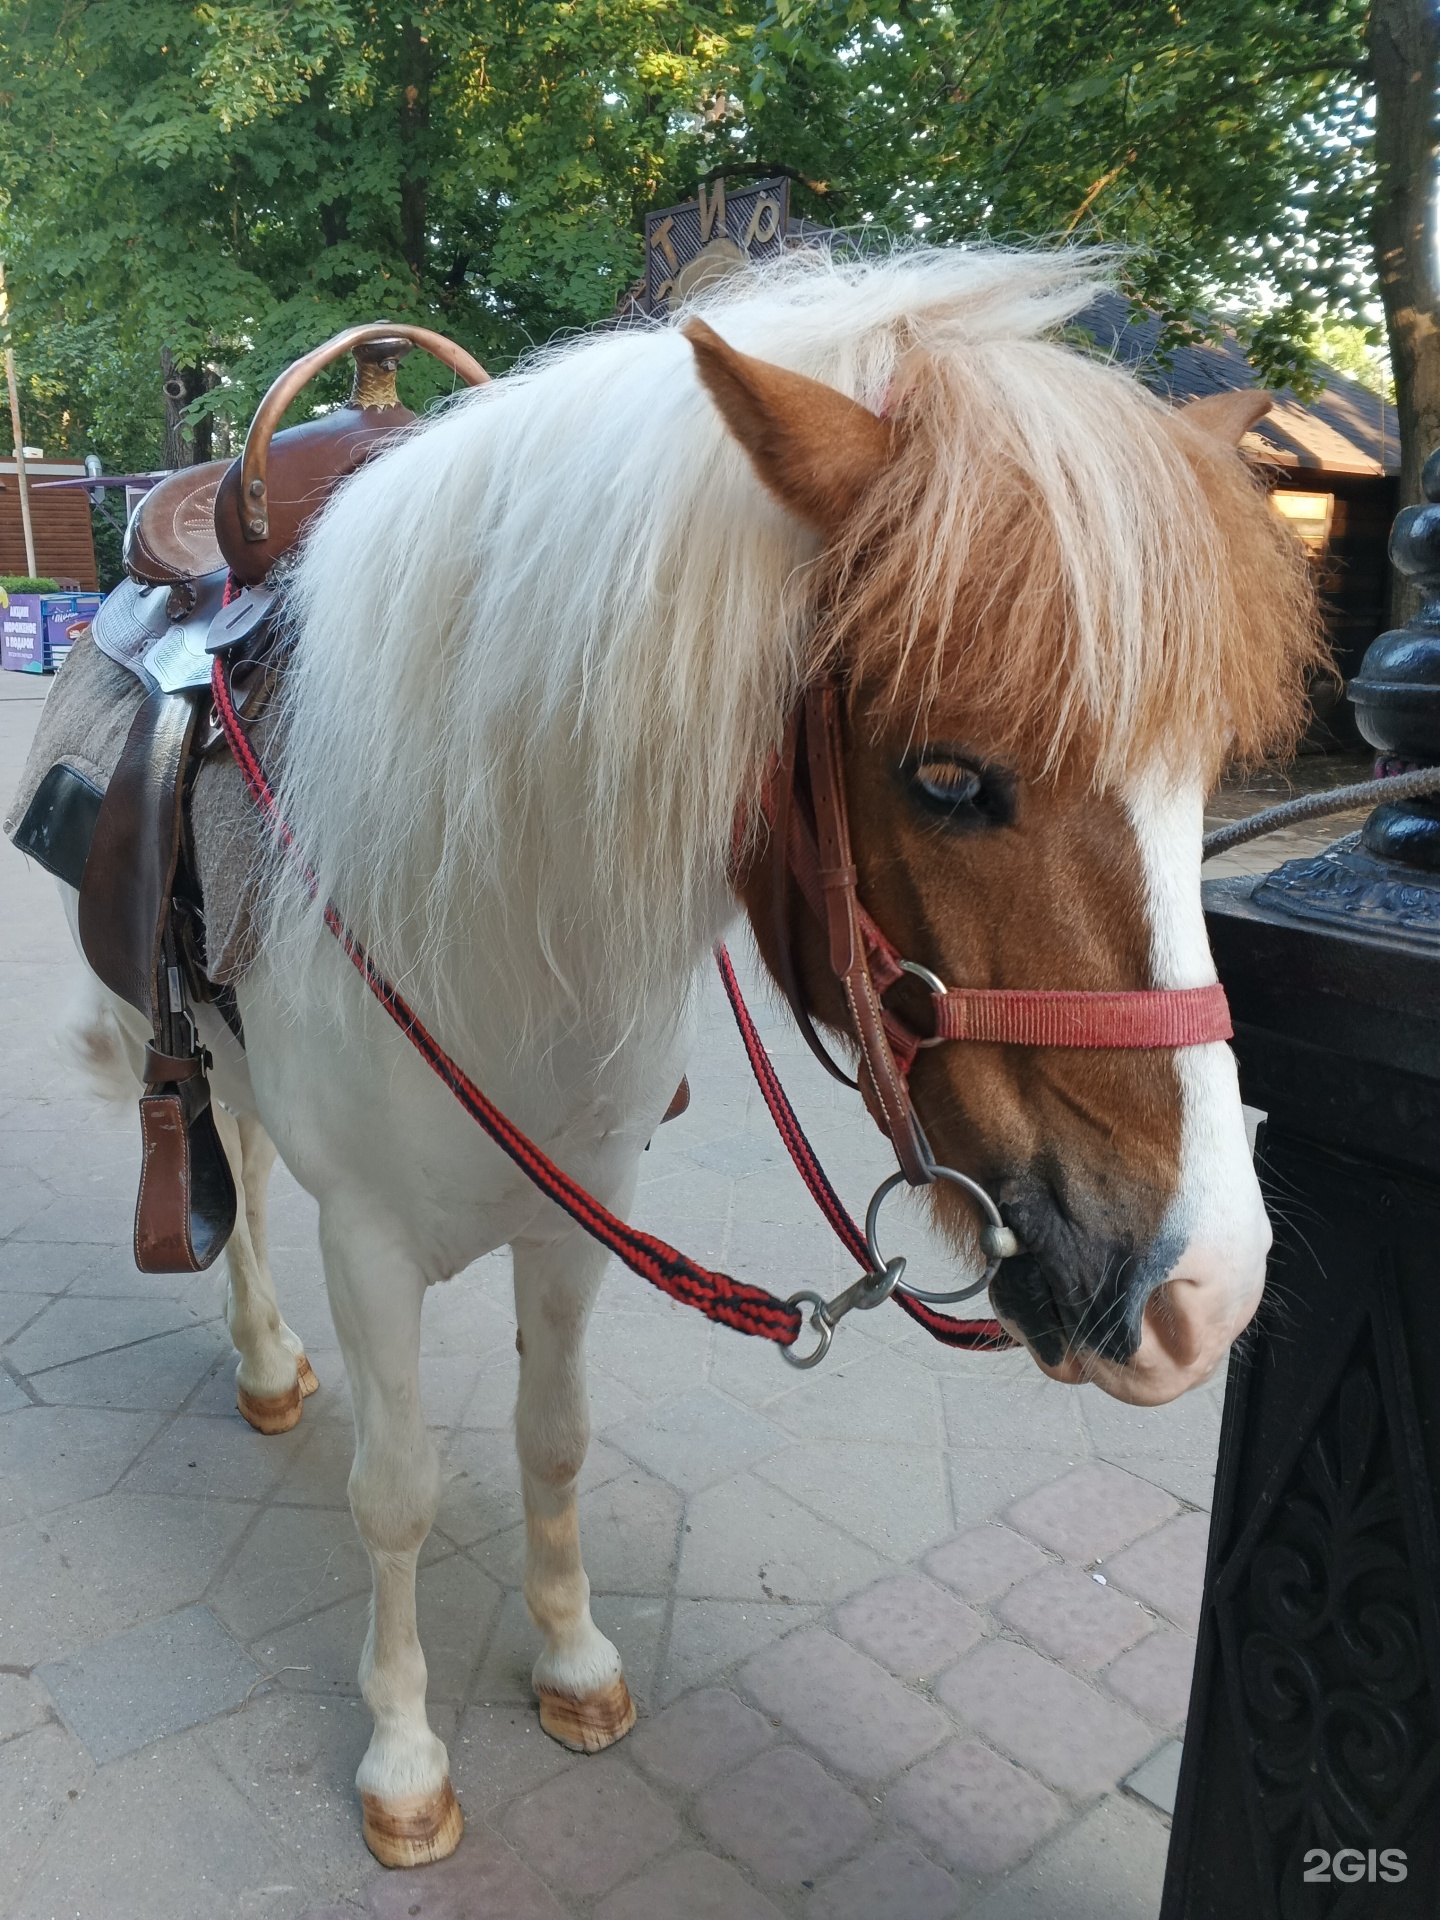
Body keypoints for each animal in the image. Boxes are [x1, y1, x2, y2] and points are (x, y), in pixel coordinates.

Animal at [59, 247, 1320, 1866]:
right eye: (946, 776)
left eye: (1203, 777)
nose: (1206, 1288)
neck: (483, 908)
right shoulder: (375, 1243)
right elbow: (395, 1492)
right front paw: (404, 1758)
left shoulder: (580, 1216)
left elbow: (554, 1440)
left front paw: (574, 1660)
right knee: (239, 1168)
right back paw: (269, 1360)